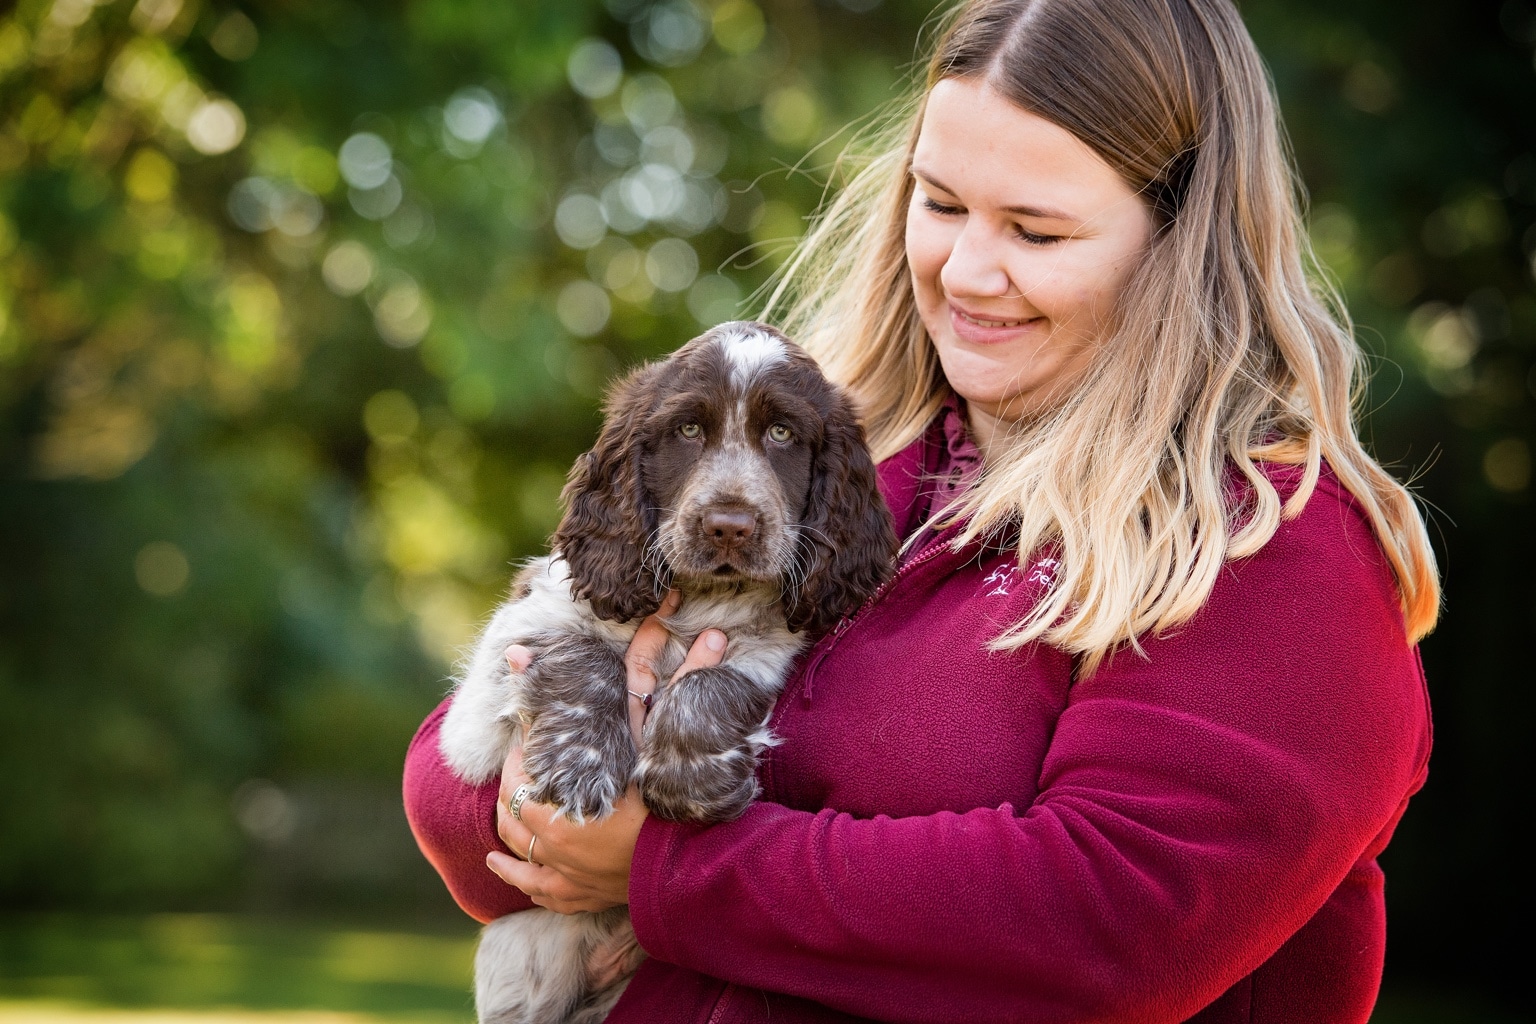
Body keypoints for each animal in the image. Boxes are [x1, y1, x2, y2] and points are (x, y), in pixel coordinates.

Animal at [439, 322, 897, 1024]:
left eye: (783, 433)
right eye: (687, 431)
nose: (730, 526)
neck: (700, 599)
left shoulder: (767, 650)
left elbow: (713, 684)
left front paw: (692, 779)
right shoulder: (514, 643)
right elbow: (588, 654)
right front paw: (579, 767)